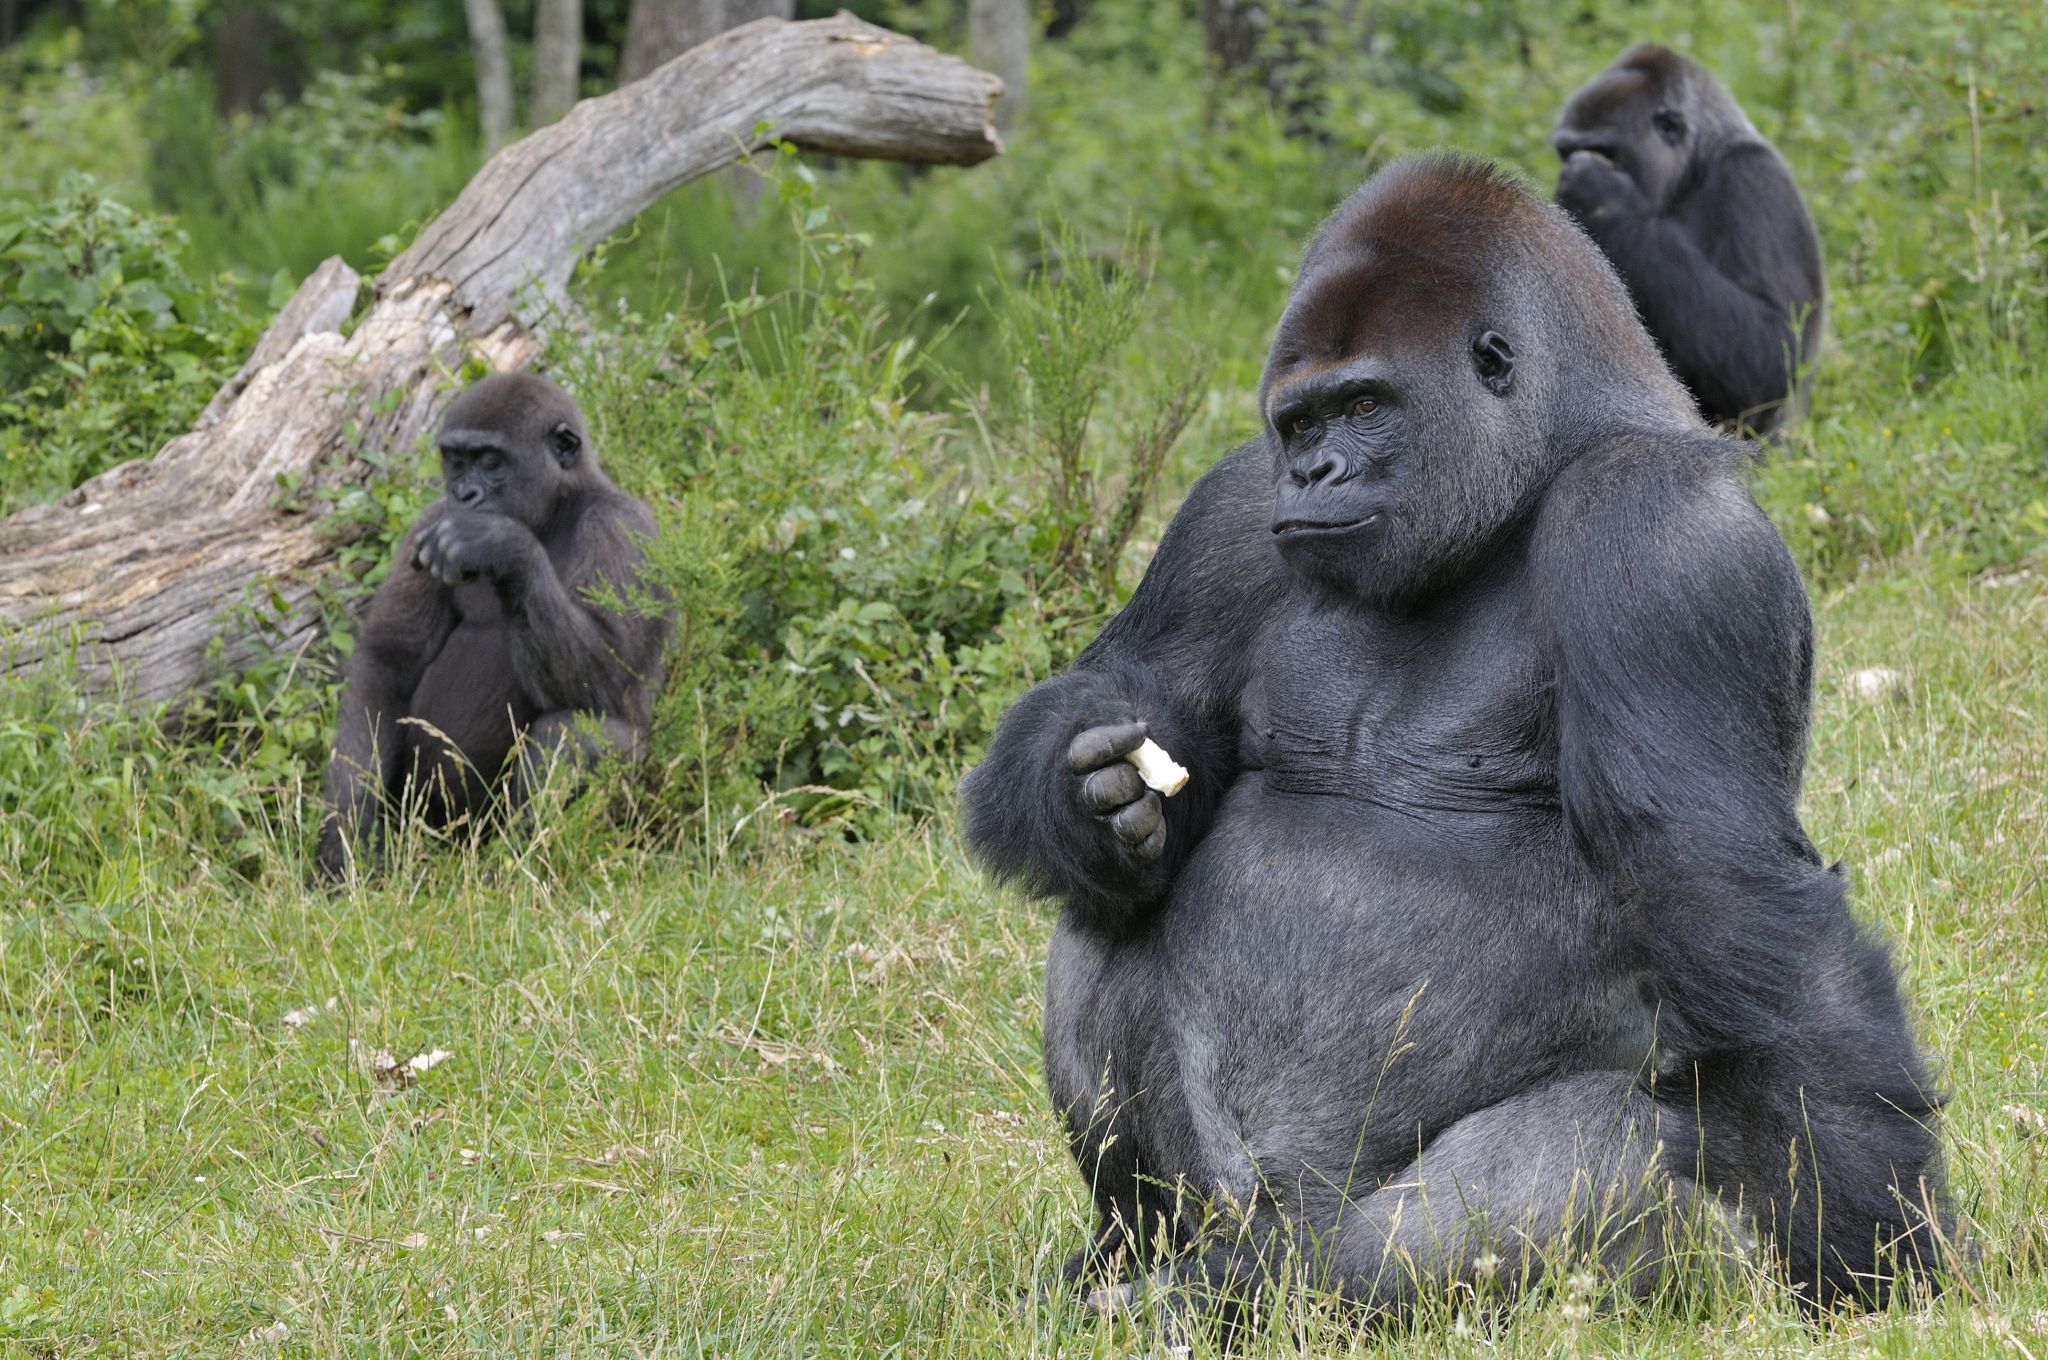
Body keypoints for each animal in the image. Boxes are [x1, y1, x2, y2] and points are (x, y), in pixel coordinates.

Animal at [311, 372, 667, 880]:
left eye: (492, 462)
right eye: (457, 462)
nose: (465, 496)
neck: (557, 506)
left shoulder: (622, 526)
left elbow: (608, 682)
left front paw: (501, 545)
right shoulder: (428, 520)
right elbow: (387, 665)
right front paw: (347, 830)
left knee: (574, 731)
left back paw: (518, 867)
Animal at [958, 159, 1933, 1335]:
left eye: (1366, 405)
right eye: (1296, 423)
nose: (1316, 474)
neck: (1541, 464)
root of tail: (1263, 1223)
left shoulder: (1659, 536)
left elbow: (1718, 884)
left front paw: (1875, 1250)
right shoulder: (1229, 506)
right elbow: (1140, 690)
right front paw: (1093, 799)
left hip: (1336, 1223)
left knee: (1595, 1159)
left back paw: (1248, 1291)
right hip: (1214, 1197)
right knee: (1104, 920)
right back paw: (1123, 1256)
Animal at [1548, 46, 1826, 436]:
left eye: (1605, 152)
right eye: (1564, 152)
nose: (1567, 175)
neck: (1694, 168)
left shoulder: (1754, 178)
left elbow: (1775, 349)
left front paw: (1604, 198)